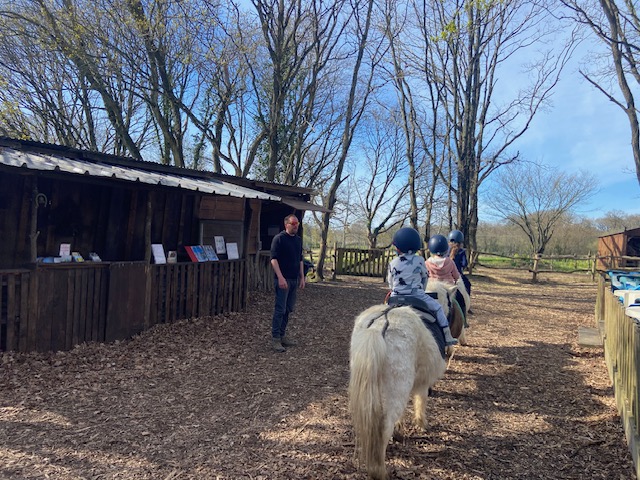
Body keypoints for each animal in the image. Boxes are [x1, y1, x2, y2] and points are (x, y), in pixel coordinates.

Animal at [350, 304, 444, 480]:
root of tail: (377, 328)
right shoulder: (422, 384)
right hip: (397, 388)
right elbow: (421, 400)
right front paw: (421, 424)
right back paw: (380, 471)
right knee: (384, 428)